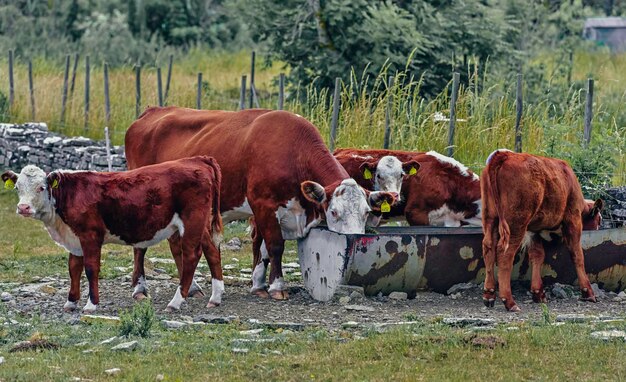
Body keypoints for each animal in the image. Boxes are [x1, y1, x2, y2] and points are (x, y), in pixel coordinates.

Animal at [1, 156, 222, 314]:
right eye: (17, 187)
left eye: (41, 187)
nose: (23, 207)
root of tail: (197, 159)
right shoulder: (74, 238)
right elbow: (73, 269)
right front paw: (71, 302)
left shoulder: (90, 235)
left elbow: (90, 269)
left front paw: (91, 304)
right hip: (201, 224)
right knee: (212, 251)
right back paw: (216, 297)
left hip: (192, 221)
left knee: (191, 255)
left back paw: (175, 302)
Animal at [123, 106, 392, 300]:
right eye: (334, 212)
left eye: (366, 212)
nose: (356, 239)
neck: (293, 152)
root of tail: (152, 111)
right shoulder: (264, 204)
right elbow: (274, 246)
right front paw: (277, 287)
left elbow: (262, 248)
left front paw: (259, 284)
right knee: (141, 246)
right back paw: (140, 289)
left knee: (174, 242)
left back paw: (194, 287)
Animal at [480, 148, 604, 310]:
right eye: (599, 219)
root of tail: (505, 155)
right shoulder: (573, 220)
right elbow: (577, 255)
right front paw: (587, 291)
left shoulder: (534, 230)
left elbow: (537, 255)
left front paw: (538, 293)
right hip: (515, 224)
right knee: (505, 253)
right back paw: (509, 301)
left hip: (490, 219)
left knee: (488, 248)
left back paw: (489, 295)